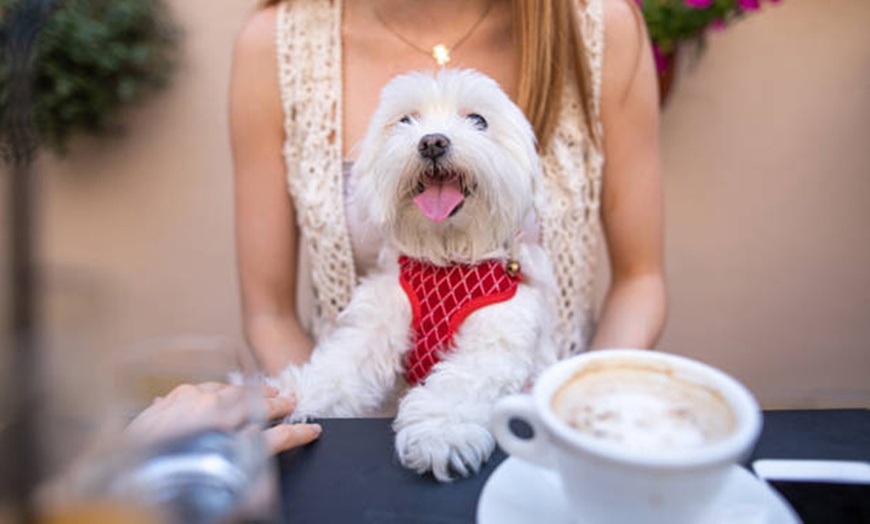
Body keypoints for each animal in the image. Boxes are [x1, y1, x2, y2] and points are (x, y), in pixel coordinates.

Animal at [272, 69, 560, 484]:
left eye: (479, 120)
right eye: (406, 120)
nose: (433, 142)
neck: (447, 258)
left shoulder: (496, 339)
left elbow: (462, 383)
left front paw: (440, 433)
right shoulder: (377, 322)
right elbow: (341, 365)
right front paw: (294, 395)